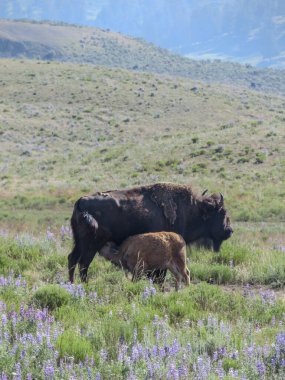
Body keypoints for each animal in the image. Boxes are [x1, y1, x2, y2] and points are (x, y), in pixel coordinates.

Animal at [67, 183, 232, 284]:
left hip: (78, 242)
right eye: (221, 212)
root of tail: (81, 202)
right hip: (91, 245)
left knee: (72, 259)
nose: (229, 230)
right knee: (84, 264)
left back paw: (72, 284)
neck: (193, 209)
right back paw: (85, 285)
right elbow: (159, 276)